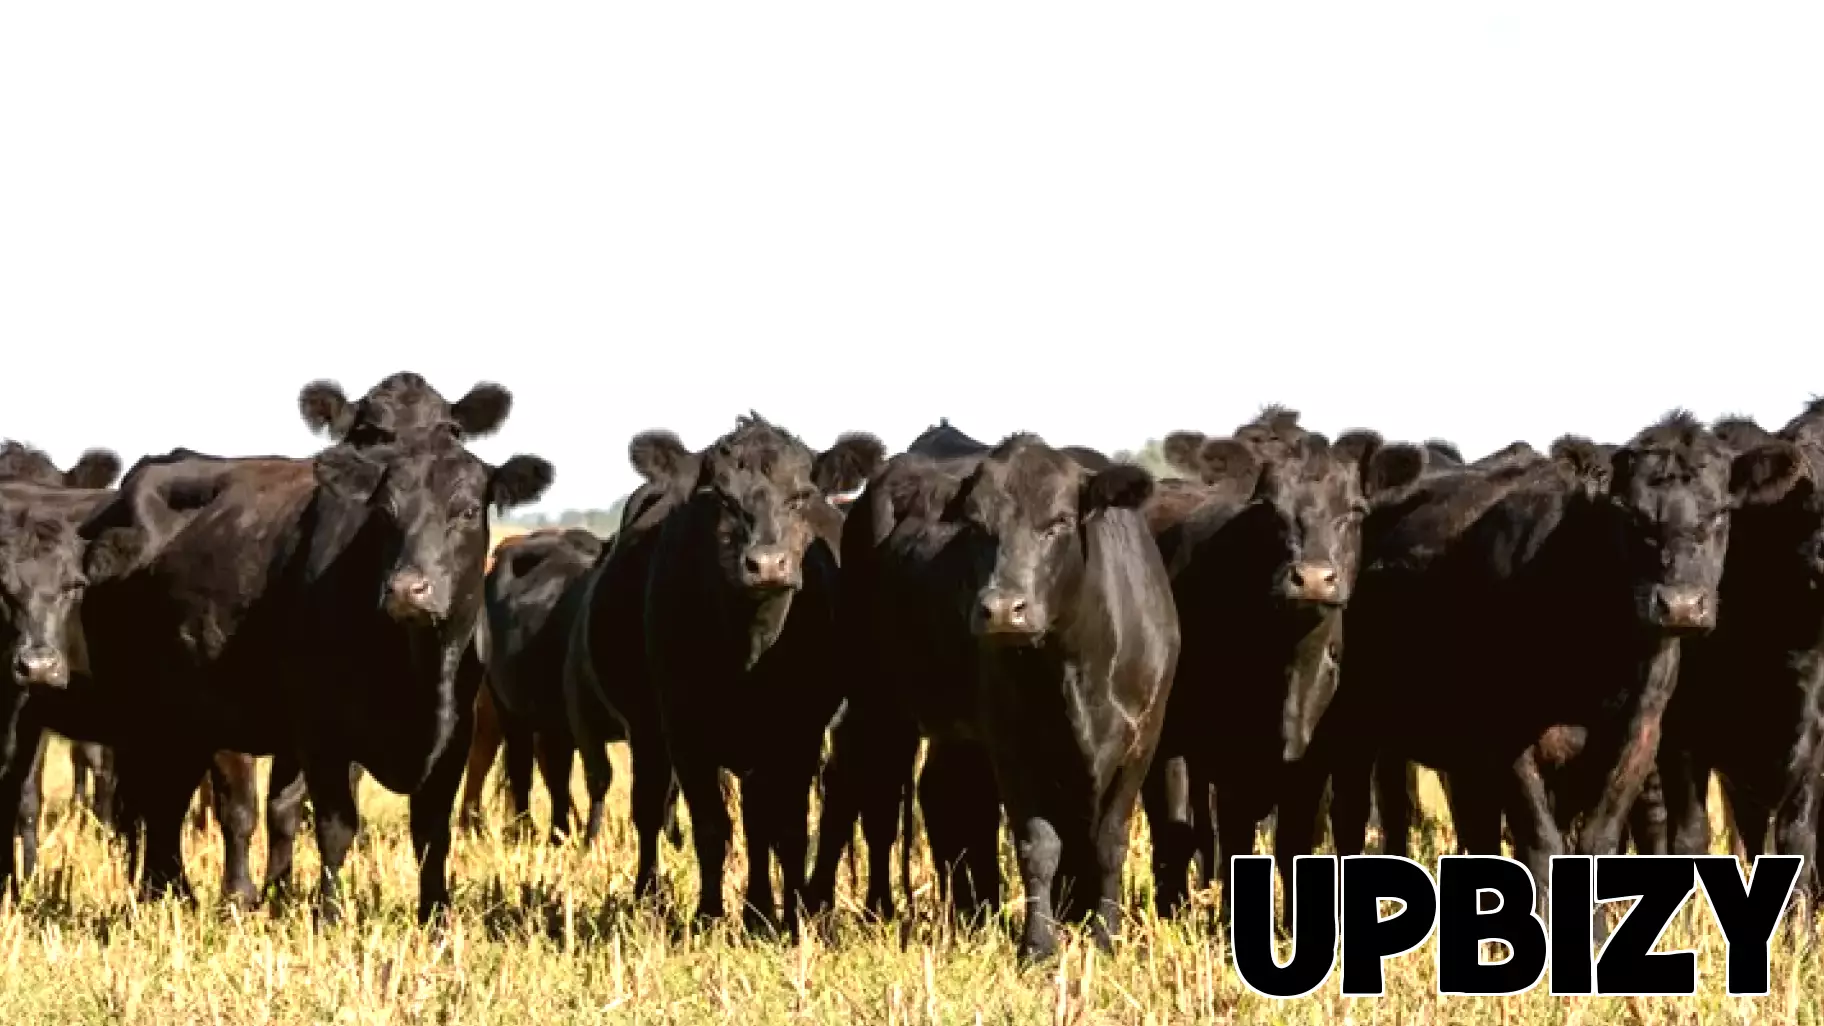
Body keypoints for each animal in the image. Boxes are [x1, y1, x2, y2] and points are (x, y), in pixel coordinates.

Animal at [1138, 411, 1425, 924]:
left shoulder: (1314, 762)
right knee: (1176, 831)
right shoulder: (1228, 759)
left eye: (1355, 511)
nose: (1312, 577)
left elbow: (1294, 843)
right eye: (1268, 509)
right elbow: (1233, 838)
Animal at [1327, 411, 1806, 898]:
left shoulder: (1637, 736)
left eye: (1721, 512)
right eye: (1629, 513)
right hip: (1353, 724)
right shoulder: (1508, 736)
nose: (1682, 605)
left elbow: (1597, 842)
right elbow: (1541, 845)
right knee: (1358, 817)